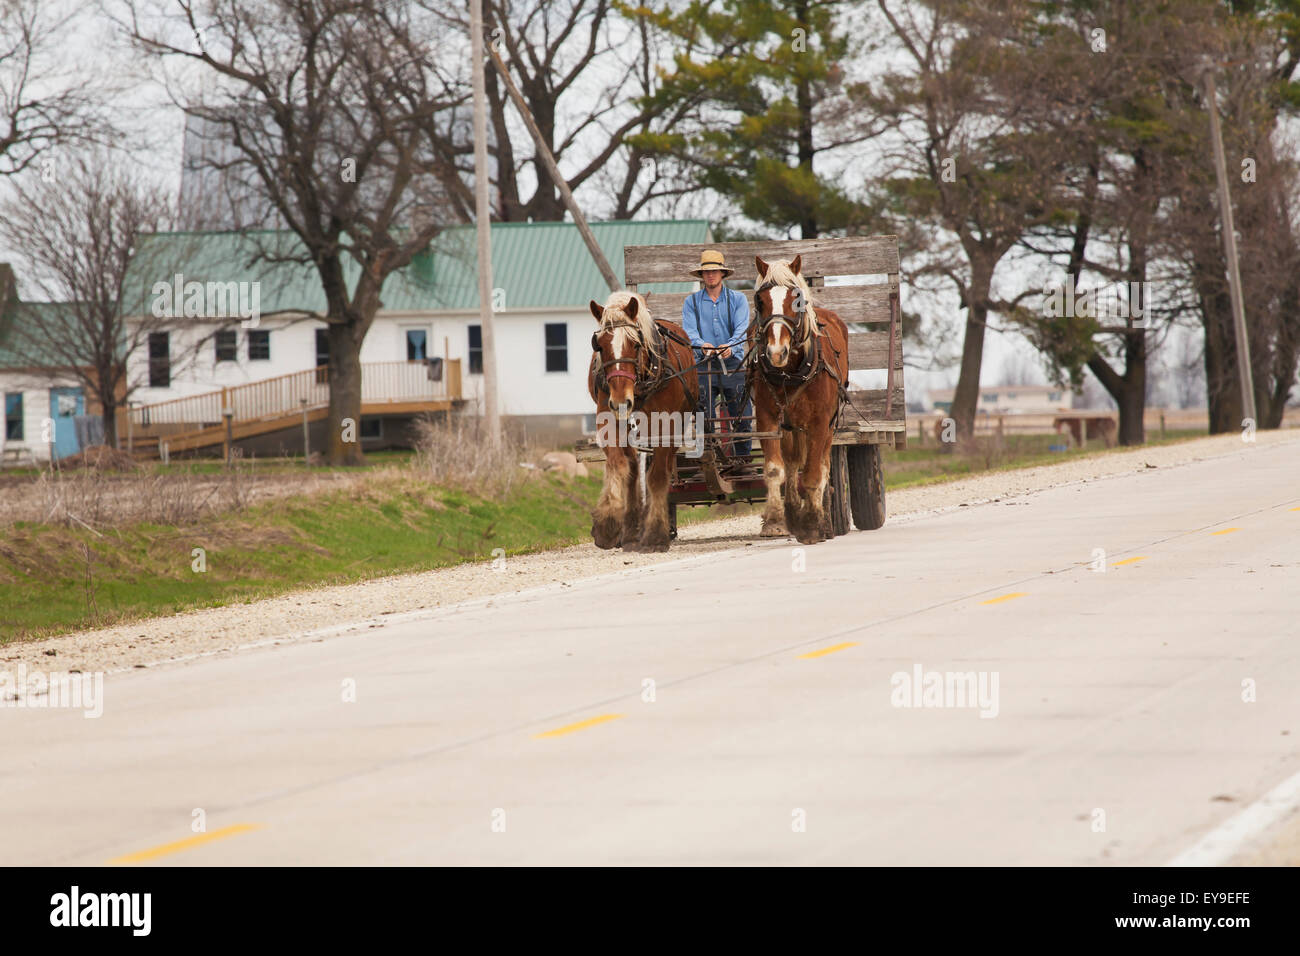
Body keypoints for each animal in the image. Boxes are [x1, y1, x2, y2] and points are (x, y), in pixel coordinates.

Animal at [587, 291, 698, 552]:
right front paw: (608, 523)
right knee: (633, 470)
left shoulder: (666, 426)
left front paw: (656, 534)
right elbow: (619, 465)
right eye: (600, 346)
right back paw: (631, 531)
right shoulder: (607, 419)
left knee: (663, 469)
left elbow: (657, 476)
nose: (621, 402)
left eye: (635, 344)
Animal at [746, 256, 849, 545]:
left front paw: (813, 523)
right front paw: (774, 521)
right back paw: (794, 513)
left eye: (797, 299)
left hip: (828, 427)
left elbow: (814, 474)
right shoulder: (768, 420)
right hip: (791, 427)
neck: (790, 371)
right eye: (760, 301)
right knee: (793, 465)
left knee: (823, 468)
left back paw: (823, 522)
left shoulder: (819, 424)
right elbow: (775, 470)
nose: (776, 352)